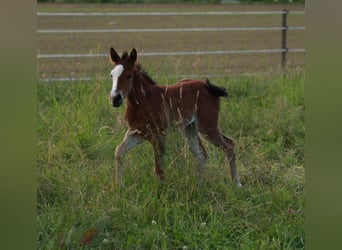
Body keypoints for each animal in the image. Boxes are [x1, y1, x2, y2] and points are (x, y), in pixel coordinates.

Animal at [109, 47, 240, 187]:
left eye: (129, 76)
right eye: (112, 75)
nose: (115, 99)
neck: (145, 101)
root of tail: (207, 85)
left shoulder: (159, 134)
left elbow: (159, 169)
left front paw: (163, 189)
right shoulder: (136, 133)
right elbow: (119, 152)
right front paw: (120, 187)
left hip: (208, 127)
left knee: (229, 145)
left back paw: (237, 184)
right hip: (189, 129)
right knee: (201, 155)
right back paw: (198, 186)